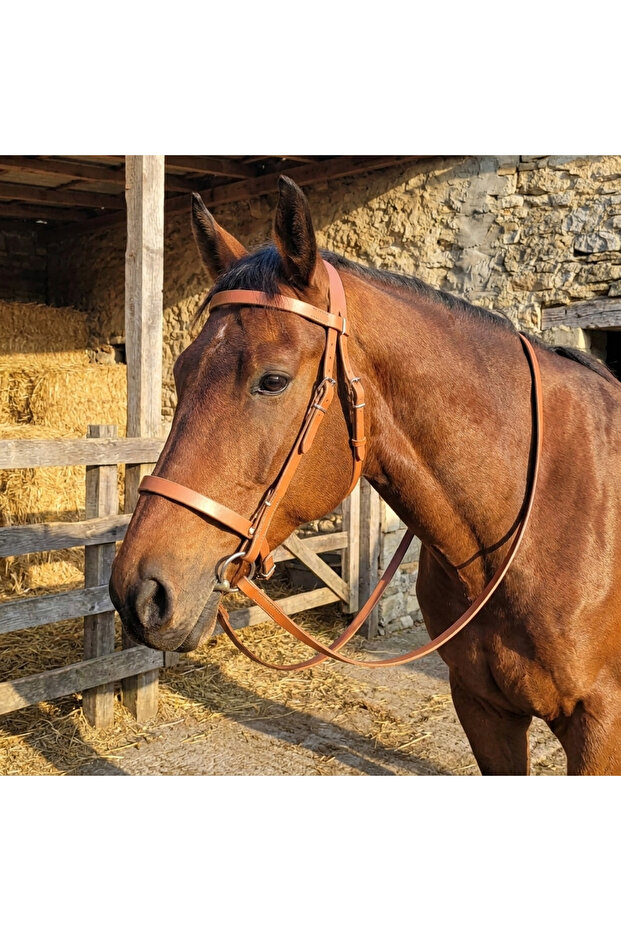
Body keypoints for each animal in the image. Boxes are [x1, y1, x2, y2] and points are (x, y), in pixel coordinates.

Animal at [109, 175, 621, 775]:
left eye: (273, 380)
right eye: (182, 369)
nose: (140, 591)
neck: (535, 522)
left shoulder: (600, 726)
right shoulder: (483, 709)